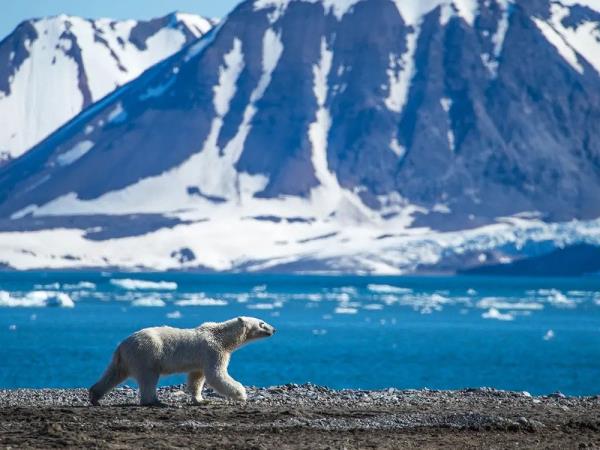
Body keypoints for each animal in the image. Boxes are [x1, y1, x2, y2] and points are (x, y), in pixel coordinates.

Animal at [89, 314, 276, 406]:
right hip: (147, 353)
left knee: (113, 374)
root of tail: (122, 344)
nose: (274, 329)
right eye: (262, 323)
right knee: (149, 377)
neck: (222, 337)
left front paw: (200, 399)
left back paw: (95, 397)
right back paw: (154, 401)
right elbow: (217, 374)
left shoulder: (200, 360)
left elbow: (197, 378)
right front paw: (241, 394)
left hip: (125, 358)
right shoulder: (213, 351)